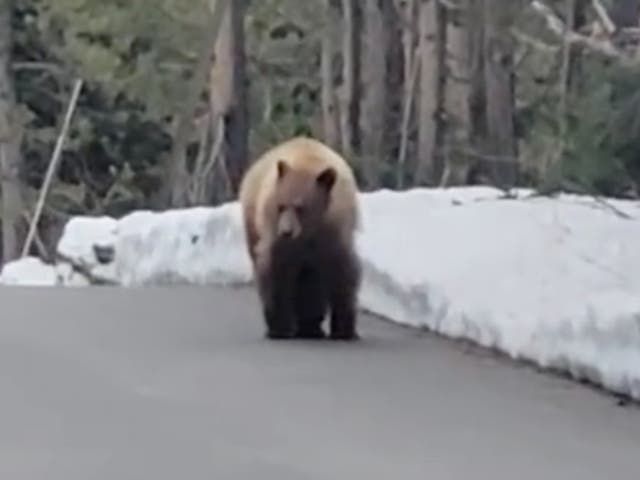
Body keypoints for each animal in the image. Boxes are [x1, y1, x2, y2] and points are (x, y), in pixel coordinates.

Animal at [239, 135, 362, 342]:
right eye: (281, 206)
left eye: (300, 207)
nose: (286, 231)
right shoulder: (276, 237)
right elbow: (276, 272)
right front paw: (279, 328)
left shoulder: (334, 233)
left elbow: (342, 275)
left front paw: (344, 330)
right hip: (253, 224)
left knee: (312, 282)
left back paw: (311, 327)